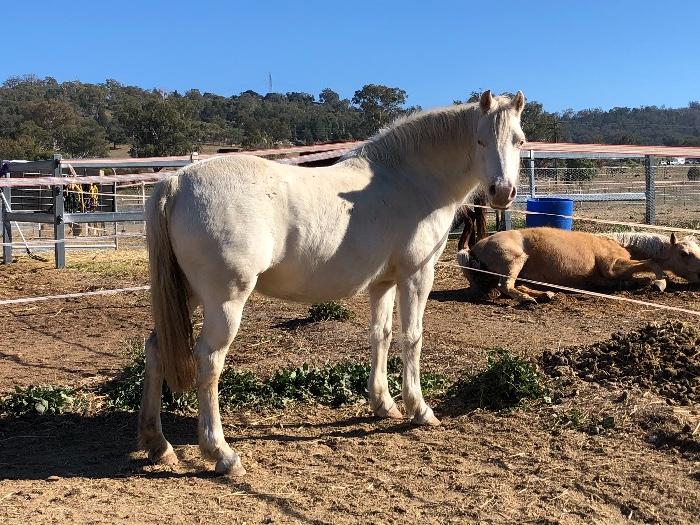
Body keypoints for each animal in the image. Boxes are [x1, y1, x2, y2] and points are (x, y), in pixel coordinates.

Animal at [139, 90, 527, 475]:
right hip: (225, 301)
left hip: (187, 293)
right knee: (209, 362)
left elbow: (381, 335)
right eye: (480, 140)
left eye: (519, 140)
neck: (408, 180)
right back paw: (221, 453)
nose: (502, 191)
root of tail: (176, 182)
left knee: (155, 348)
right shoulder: (417, 275)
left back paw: (159, 445)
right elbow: (411, 337)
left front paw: (383, 404)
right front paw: (419, 409)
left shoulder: (383, 283)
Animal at [456, 227, 672, 303]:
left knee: (515, 286)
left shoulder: (603, 279)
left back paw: (546, 294)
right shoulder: (612, 267)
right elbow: (651, 262)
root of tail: (472, 250)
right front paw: (660, 282)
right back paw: (529, 300)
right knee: (506, 286)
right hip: (514, 261)